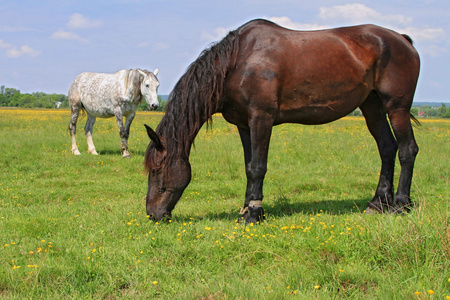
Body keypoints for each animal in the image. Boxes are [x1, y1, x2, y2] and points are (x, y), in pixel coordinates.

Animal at [143, 19, 418, 223]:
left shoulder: (261, 118)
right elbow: (248, 165)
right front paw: (246, 209)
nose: (153, 214)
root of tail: (403, 39)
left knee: (407, 150)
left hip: (397, 107)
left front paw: (253, 214)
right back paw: (378, 203)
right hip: (372, 106)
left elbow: (257, 167)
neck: (237, 62)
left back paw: (401, 204)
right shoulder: (244, 124)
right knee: (387, 148)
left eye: (157, 169)